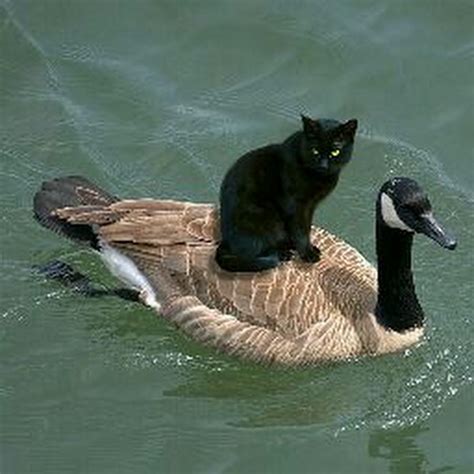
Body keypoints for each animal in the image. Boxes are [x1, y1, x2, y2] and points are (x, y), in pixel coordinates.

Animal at [215, 114, 358, 272]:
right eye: (315, 150)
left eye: (335, 152)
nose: (324, 165)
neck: (319, 177)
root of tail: (225, 240)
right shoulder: (296, 206)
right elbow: (301, 231)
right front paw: (308, 254)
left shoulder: (310, 206)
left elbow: (306, 228)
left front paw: (308, 248)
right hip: (266, 216)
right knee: (254, 250)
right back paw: (283, 254)